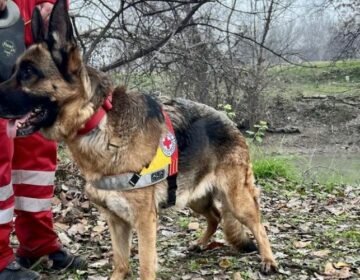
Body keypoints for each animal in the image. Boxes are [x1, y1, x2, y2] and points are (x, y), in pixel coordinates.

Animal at [0, 0, 278, 278]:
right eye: (13, 71)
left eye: (28, 72)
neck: (98, 120)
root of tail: (231, 122)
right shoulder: (116, 220)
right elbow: (121, 263)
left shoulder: (144, 221)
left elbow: (145, 266)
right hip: (194, 197)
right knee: (216, 215)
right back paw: (200, 243)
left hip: (236, 199)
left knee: (258, 225)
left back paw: (269, 260)